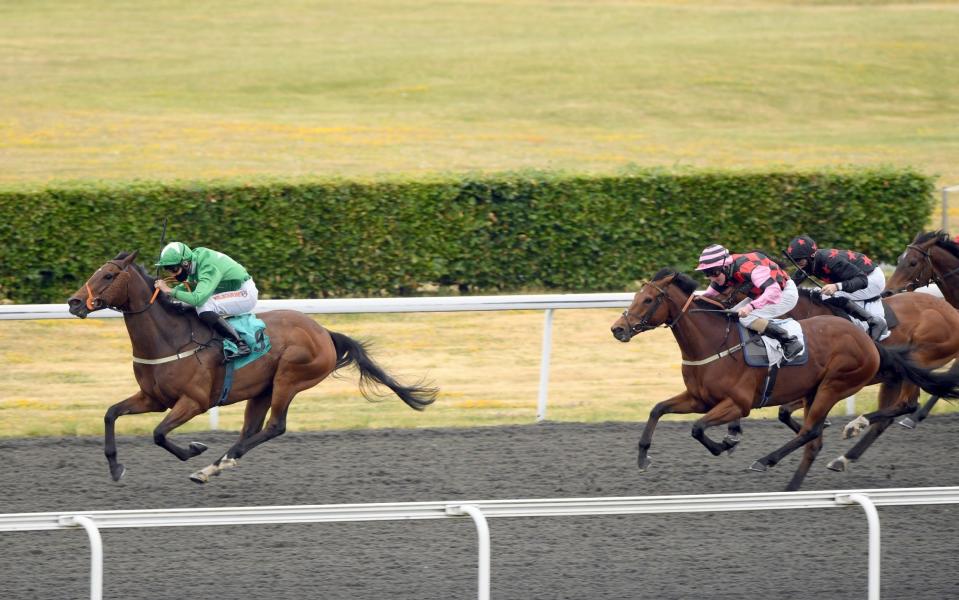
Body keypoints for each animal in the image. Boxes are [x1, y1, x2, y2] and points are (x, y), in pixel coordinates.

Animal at [66, 252, 438, 482]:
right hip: (262, 389)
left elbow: (158, 434)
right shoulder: (153, 398)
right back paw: (214, 467)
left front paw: (193, 449)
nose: (73, 302)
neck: (170, 338)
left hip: (290, 377)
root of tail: (324, 332)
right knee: (251, 429)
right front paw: (116, 468)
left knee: (275, 427)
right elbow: (111, 414)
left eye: (108, 275)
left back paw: (218, 462)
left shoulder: (194, 402)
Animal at [612, 270, 959, 490]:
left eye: (647, 300)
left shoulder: (737, 403)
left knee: (815, 430)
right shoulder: (699, 399)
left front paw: (724, 444)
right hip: (821, 390)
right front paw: (643, 457)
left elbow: (698, 428)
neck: (714, 342)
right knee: (817, 437)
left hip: (836, 384)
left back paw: (771, 460)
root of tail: (867, 340)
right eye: (636, 296)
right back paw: (797, 483)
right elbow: (658, 409)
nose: (618, 329)